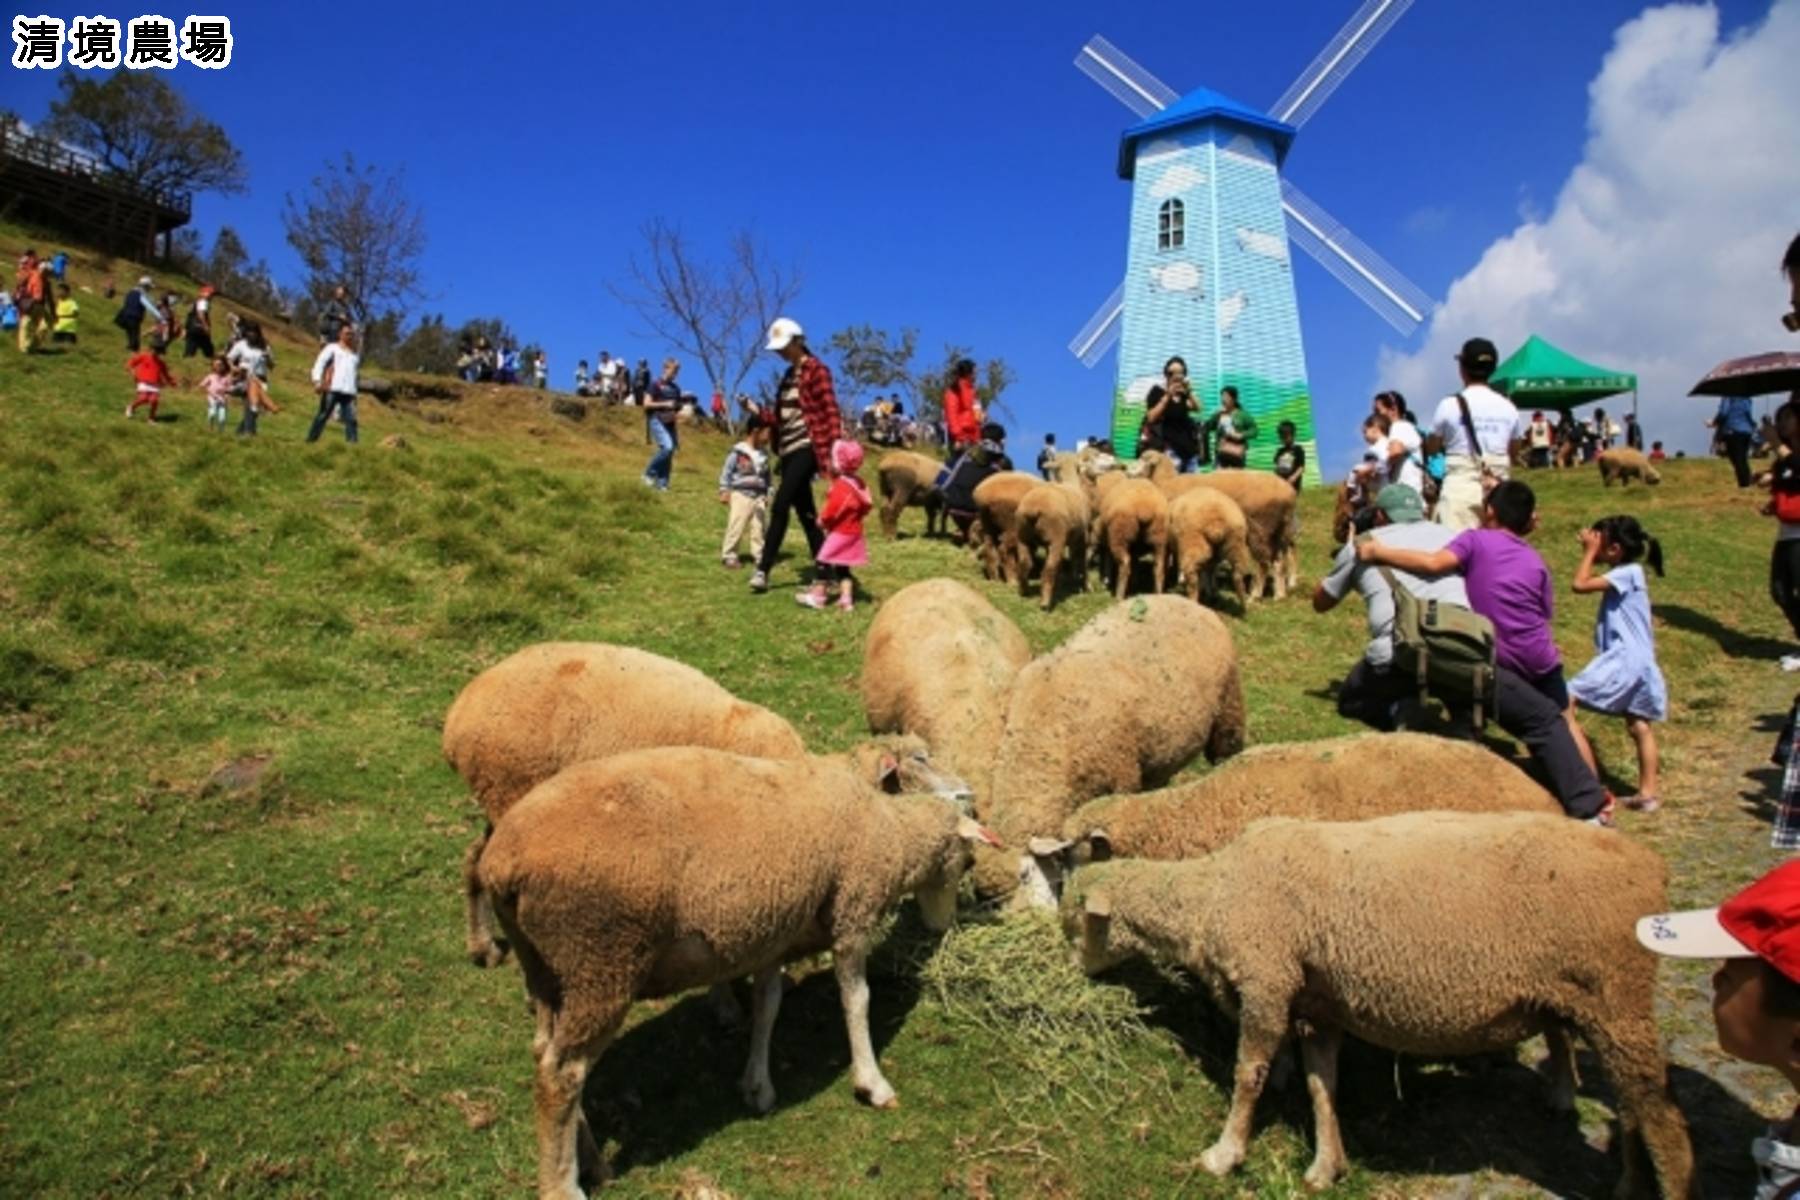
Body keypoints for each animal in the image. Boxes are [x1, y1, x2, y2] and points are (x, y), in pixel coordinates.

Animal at [478, 744, 1000, 1194]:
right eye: (965, 860)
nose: (944, 926)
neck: (888, 828)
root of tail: (503, 862)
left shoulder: (773, 934)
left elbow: (768, 1006)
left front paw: (757, 1086)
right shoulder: (853, 909)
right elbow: (856, 1000)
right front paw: (872, 1082)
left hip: (549, 970)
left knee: (546, 1053)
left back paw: (593, 1163)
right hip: (600, 959)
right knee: (562, 1073)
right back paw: (562, 1186)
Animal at [1058, 813, 1692, 1194]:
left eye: (1073, 924)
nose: (1070, 971)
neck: (1214, 893)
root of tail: (1652, 867)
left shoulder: (1268, 982)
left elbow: (1249, 1075)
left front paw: (1225, 1153)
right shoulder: (1318, 1005)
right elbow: (1322, 1084)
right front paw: (1325, 1166)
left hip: (1618, 999)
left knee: (1665, 1123)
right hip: (1595, 1007)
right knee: (1633, 1108)